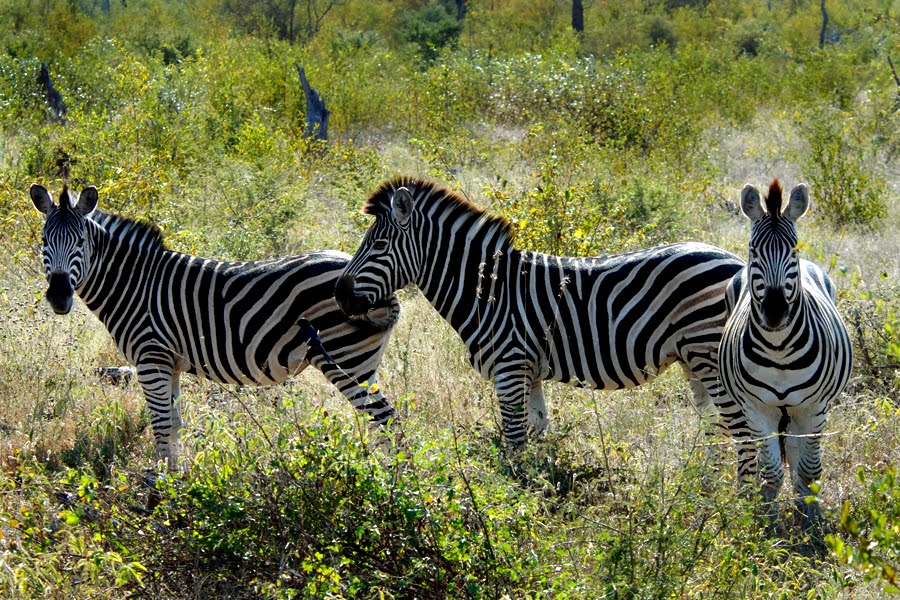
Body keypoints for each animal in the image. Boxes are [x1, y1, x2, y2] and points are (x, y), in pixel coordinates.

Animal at [30, 184, 400, 468]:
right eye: (44, 242)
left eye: (80, 243)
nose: (59, 296)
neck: (135, 284)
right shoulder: (169, 364)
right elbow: (174, 425)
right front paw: (177, 478)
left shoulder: (150, 358)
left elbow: (161, 426)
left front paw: (160, 491)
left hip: (347, 358)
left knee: (384, 419)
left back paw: (391, 481)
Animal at [334, 176, 746, 449]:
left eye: (379, 244)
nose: (338, 295)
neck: (490, 292)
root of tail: (736, 261)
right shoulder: (528, 372)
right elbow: (536, 434)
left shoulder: (510, 368)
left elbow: (515, 443)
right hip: (691, 359)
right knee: (716, 427)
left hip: (708, 354)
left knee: (741, 427)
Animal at [719, 180, 852, 531]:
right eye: (753, 250)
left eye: (793, 250)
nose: (776, 312)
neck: (778, 349)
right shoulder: (757, 409)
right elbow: (770, 474)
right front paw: (767, 527)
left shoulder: (814, 407)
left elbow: (808, 470)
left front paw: (811, 526)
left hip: (798, 411)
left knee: (795, 451)